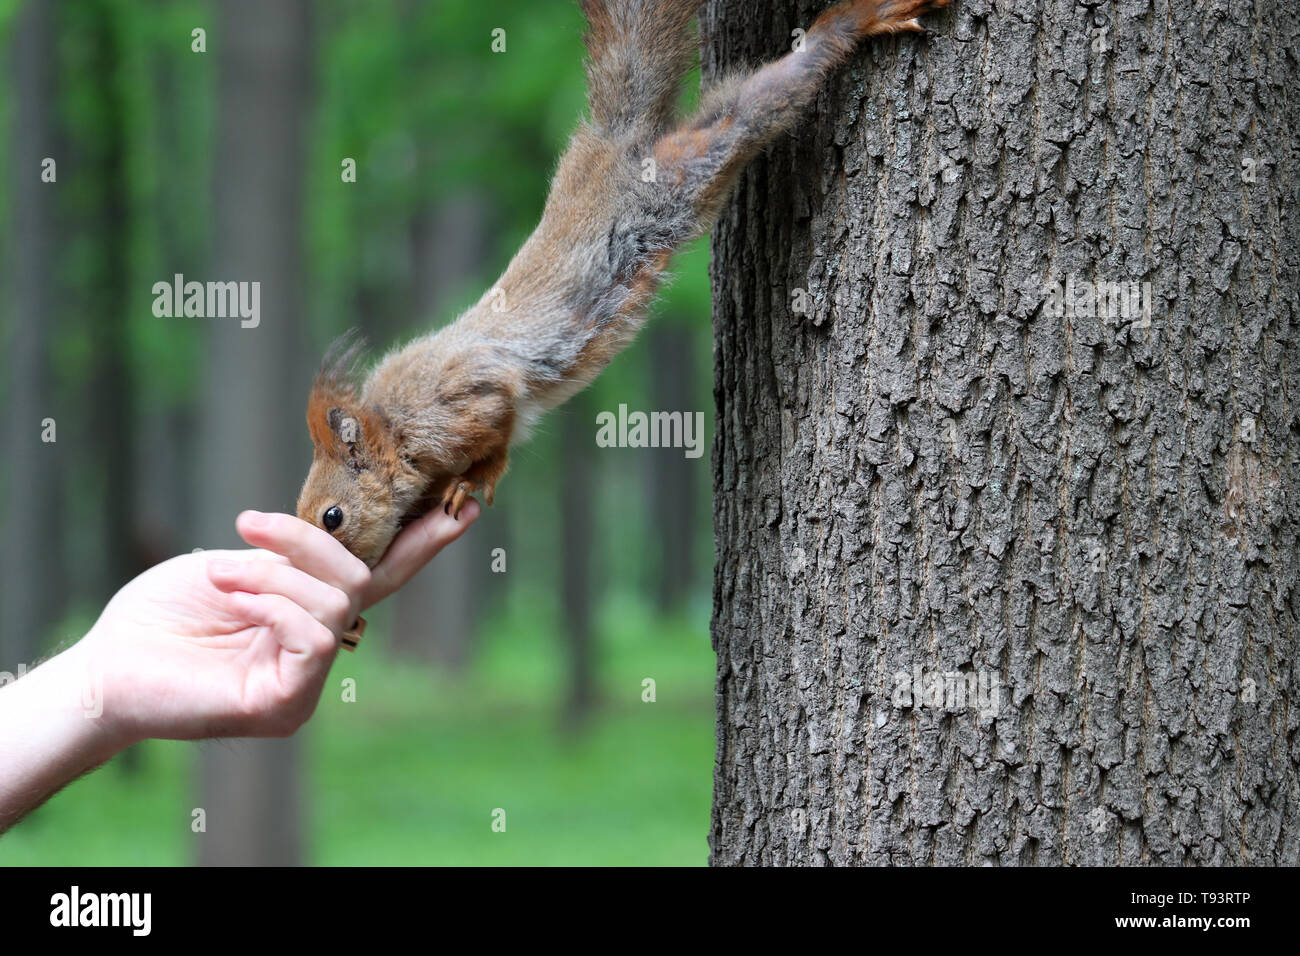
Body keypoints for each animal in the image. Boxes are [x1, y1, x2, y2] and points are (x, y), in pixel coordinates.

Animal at [297, 0, 946, 567]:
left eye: (332, 516)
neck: (391, 428)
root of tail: (612, 139)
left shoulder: (461, 404)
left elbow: (502, 422)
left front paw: (474, 479)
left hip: (683, 172)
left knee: (750, 107)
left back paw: (853, 22)